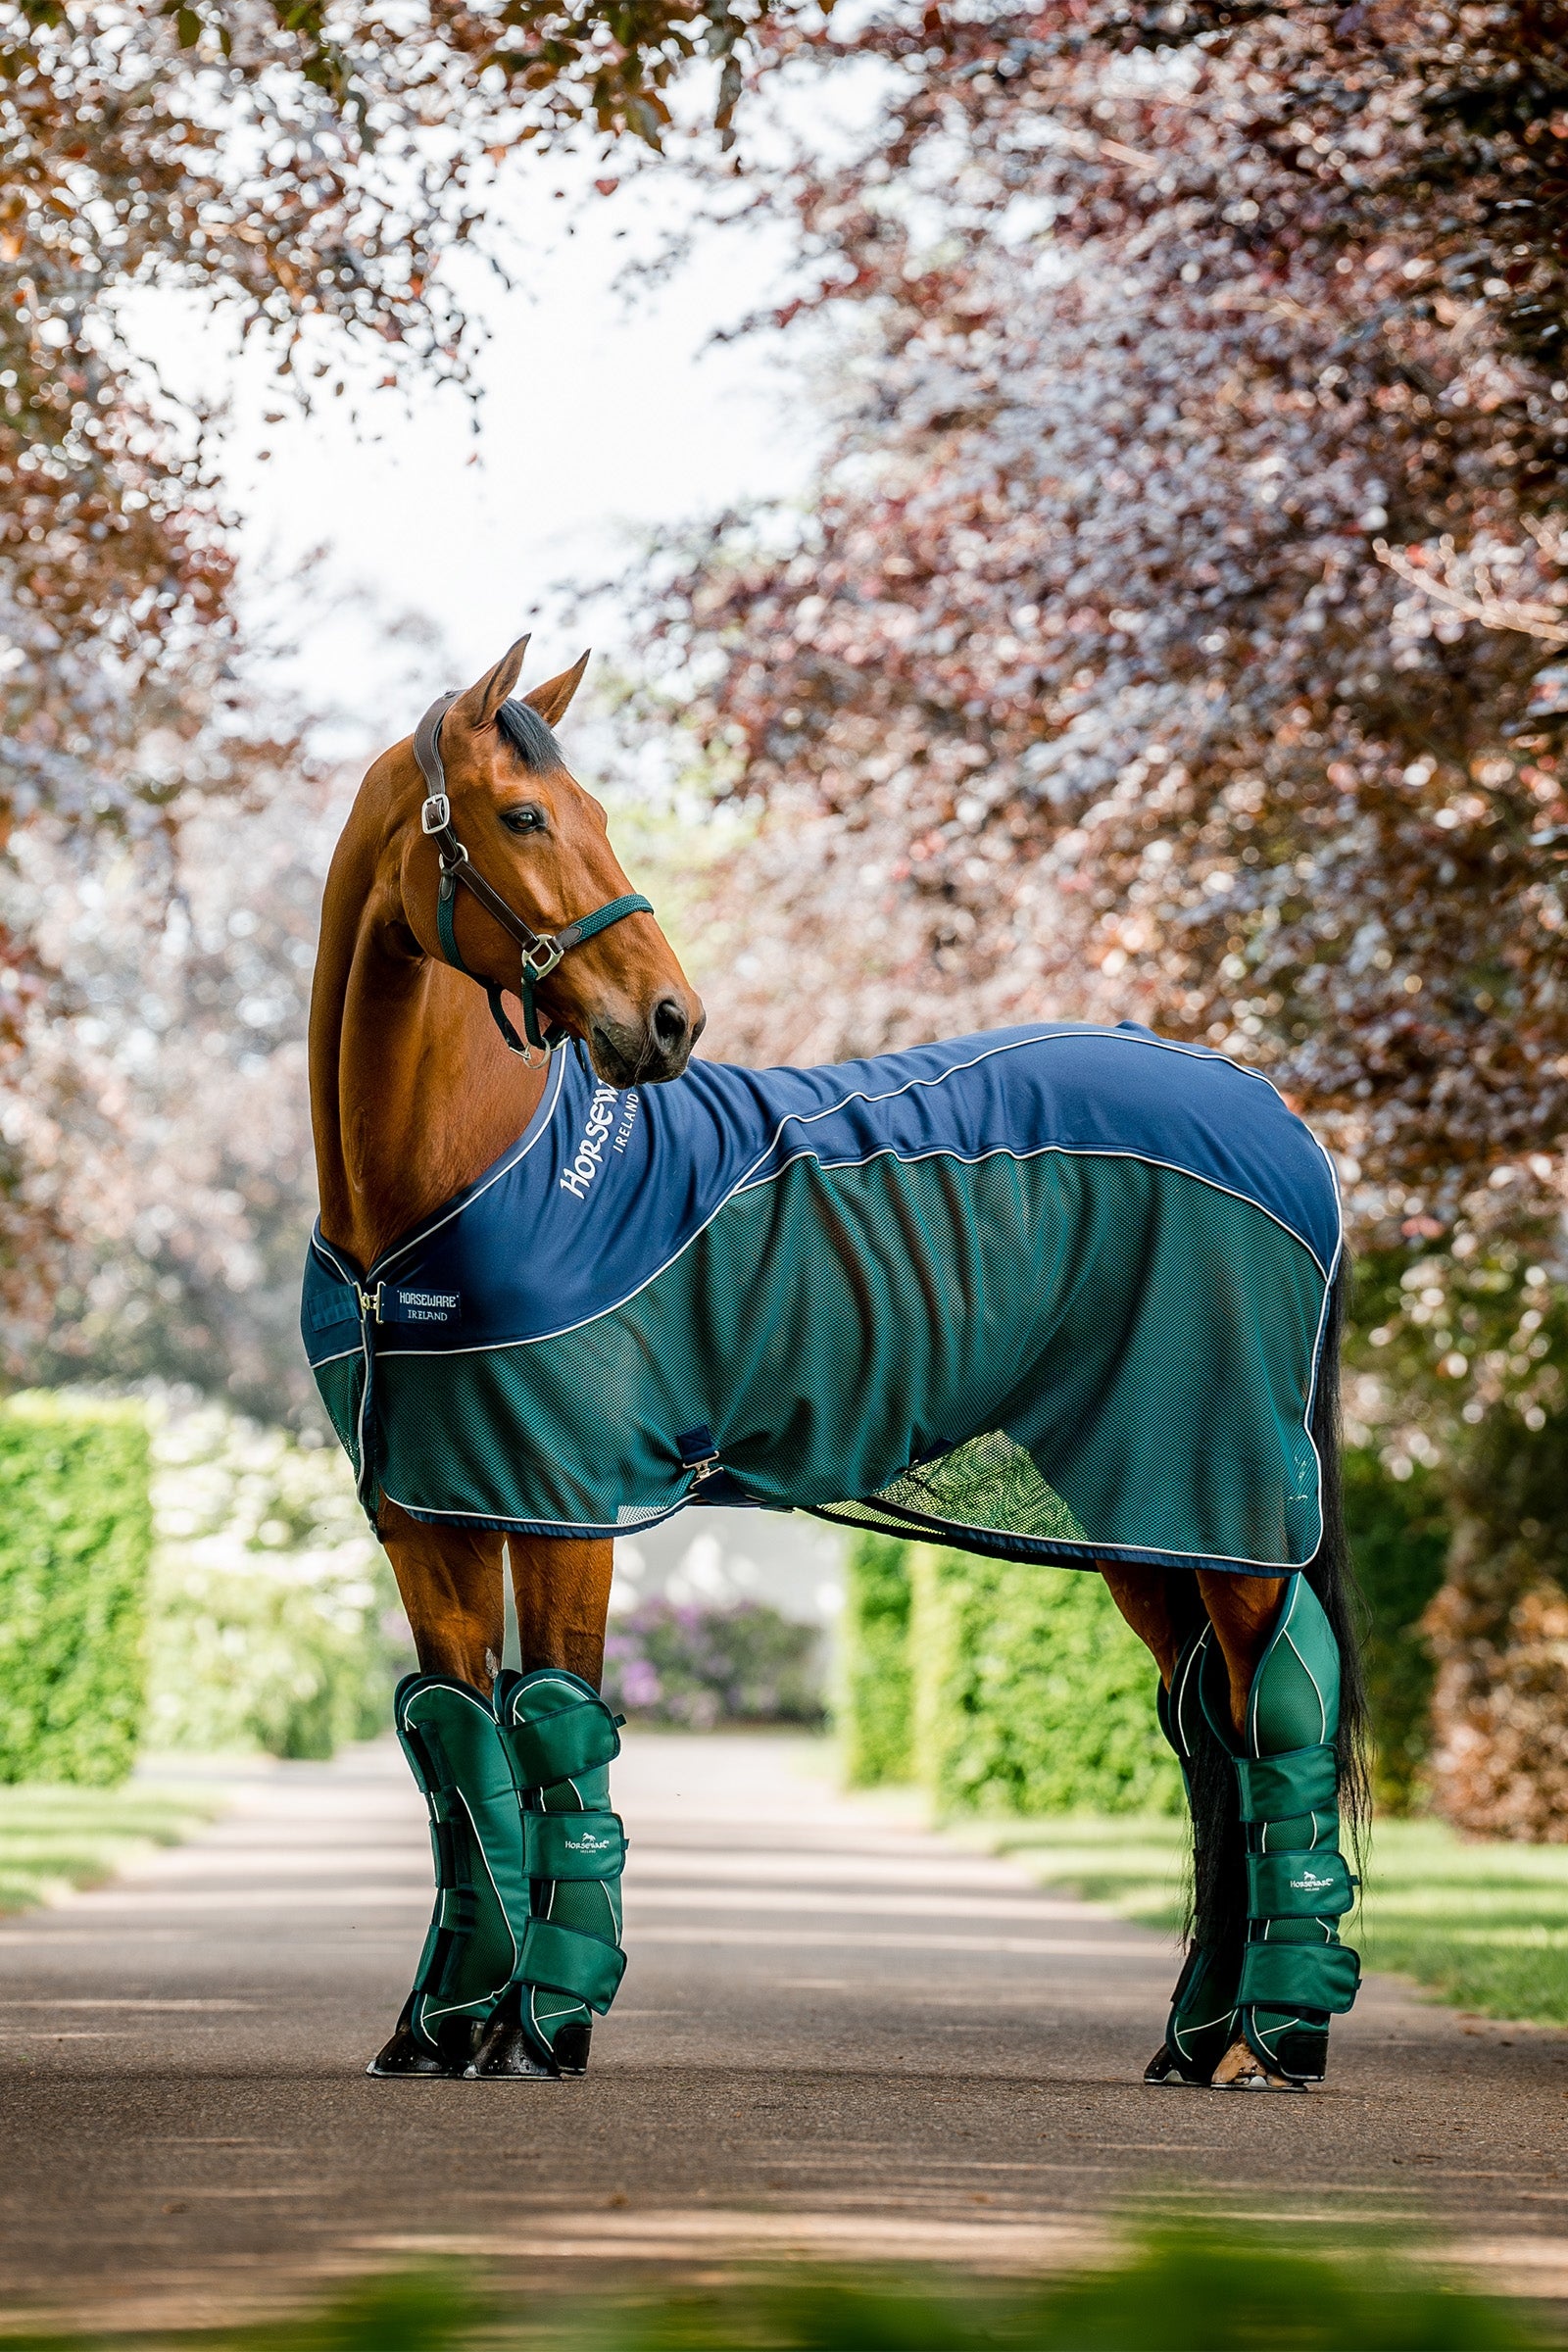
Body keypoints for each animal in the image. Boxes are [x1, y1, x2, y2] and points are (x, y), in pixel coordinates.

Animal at [306, 637, 1367, 2093]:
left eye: (590, 813)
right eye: (523, 817)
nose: (669, 1021)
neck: (444, 1193)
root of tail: (1278, 1120)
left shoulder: (566, 1505)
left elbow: (558, 1731)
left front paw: (536, 2031)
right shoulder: (431, 1517)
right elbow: (460, 1749)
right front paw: (437, 2030)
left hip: (1221, 1495)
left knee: (1276, 1720)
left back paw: (1276, 2044)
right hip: (1145, 1514)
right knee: (1211, 1742)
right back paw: (1191, 2043)